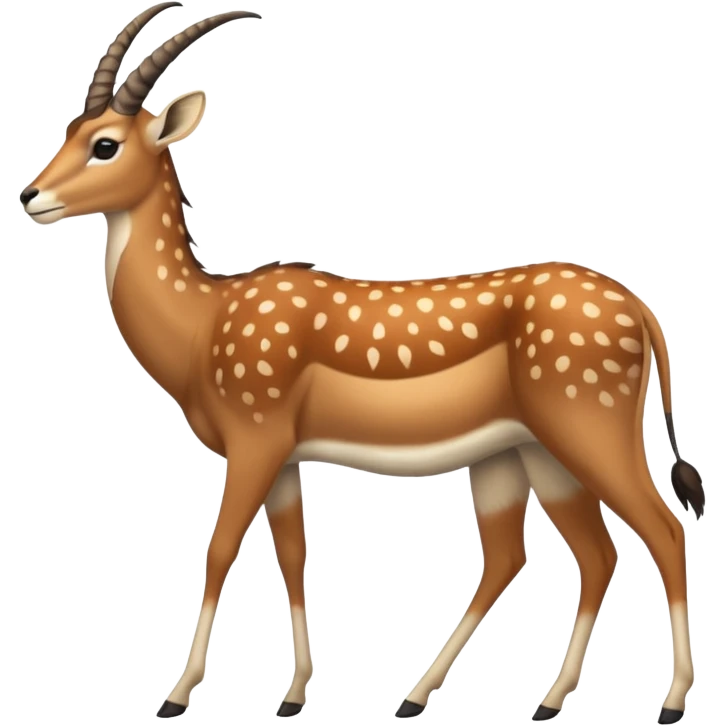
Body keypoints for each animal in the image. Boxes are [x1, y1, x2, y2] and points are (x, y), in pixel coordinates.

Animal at [19, 3, 704, 723]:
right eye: (71, 129)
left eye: (105, 144)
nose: (31, 196)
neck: (203, 323)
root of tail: (643, 312)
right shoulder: (284, 456)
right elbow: (293, 556)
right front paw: (292, 695)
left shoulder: (254, 438)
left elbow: (219, 549)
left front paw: (176, 697)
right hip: (523, 453)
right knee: (561, 554)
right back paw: (492, 699)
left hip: (589, 427)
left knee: (661, 531)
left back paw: (669, 702)